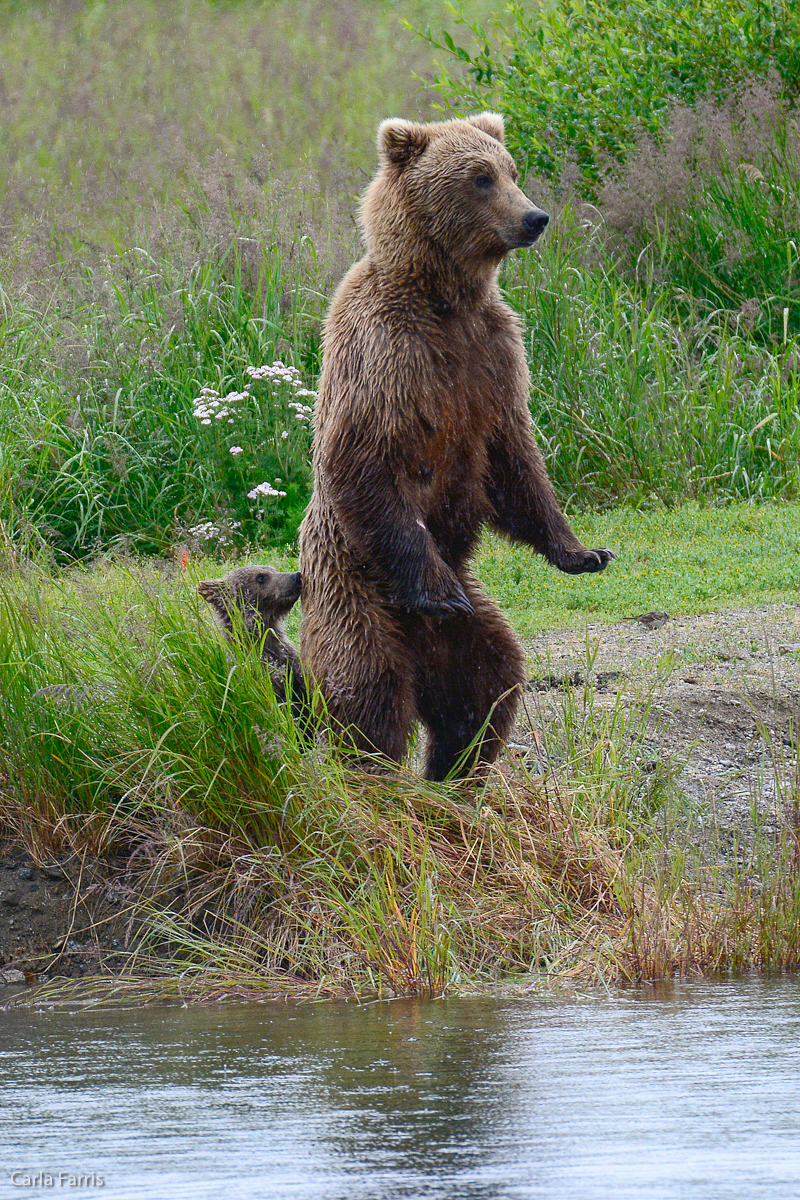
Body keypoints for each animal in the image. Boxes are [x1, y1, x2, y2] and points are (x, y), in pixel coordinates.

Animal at [297, 112, 618, 777]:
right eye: (479, 177)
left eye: (511, 169)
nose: (535, 217)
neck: (444, 298)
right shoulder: (385, 352)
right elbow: (360, 457)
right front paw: (436, 586)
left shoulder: (494, 356)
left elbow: (515, 461)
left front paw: (584, 552)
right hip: (356, 595)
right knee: (368, 693)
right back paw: (379, 769)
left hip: (469, 631)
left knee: (487, 684)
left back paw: (456, 770)